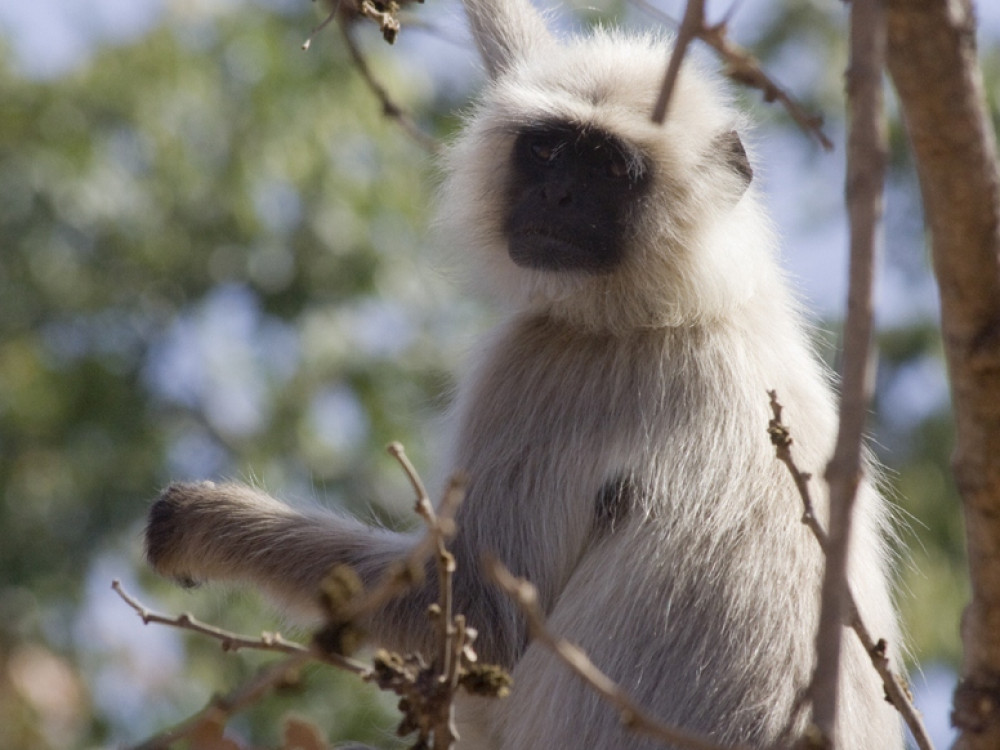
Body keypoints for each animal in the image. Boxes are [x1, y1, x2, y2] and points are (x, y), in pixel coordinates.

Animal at [146, 1, 908, 748]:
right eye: (546, 151)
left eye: (609, 169)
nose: (559, 196)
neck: (681, 312)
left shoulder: (545, 365)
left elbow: (482, 617)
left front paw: (201, 524)